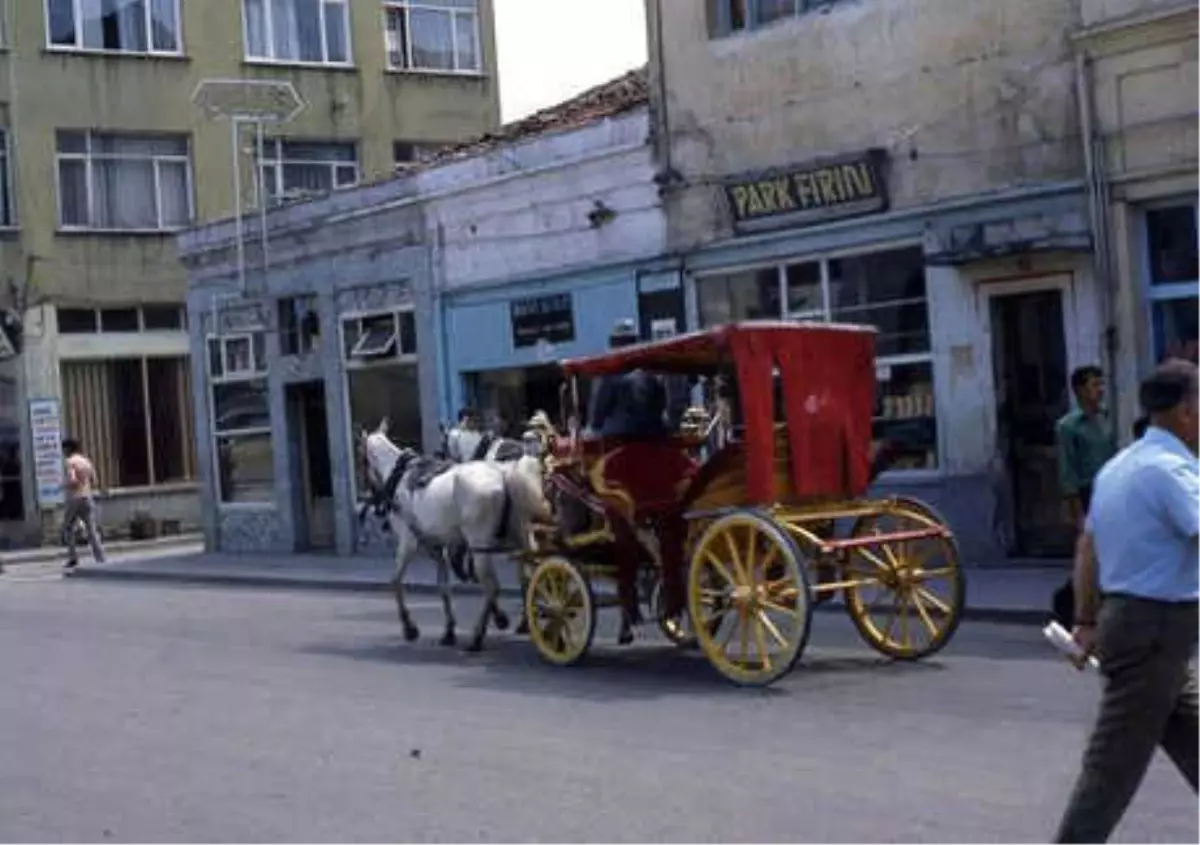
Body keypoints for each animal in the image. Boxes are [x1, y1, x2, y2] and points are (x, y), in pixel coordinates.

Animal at [352, 422, 547, 652]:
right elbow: (443, 586)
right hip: (521, 537)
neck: (400, 476)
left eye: (359, 456)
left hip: (480, 545)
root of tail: (504, 475)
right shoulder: (436, 547)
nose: (369, 498)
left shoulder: (409, 543)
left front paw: (409, 628)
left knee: (492, 586)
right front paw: (449, 631)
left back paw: (478, 636)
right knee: (528, 577)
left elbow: (395, 581)